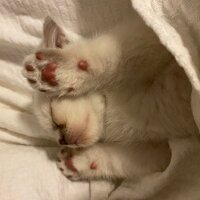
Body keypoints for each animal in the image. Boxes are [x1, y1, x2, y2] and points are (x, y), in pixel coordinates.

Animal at [22, 16, 198, 199]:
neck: (111, 111)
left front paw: (55, 71)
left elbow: (113, 55)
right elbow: (123, 161)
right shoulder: (164, 151)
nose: (63, 140)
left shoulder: (154, 40)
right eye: (55, 136)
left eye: (51, 113)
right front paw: (76, 162)